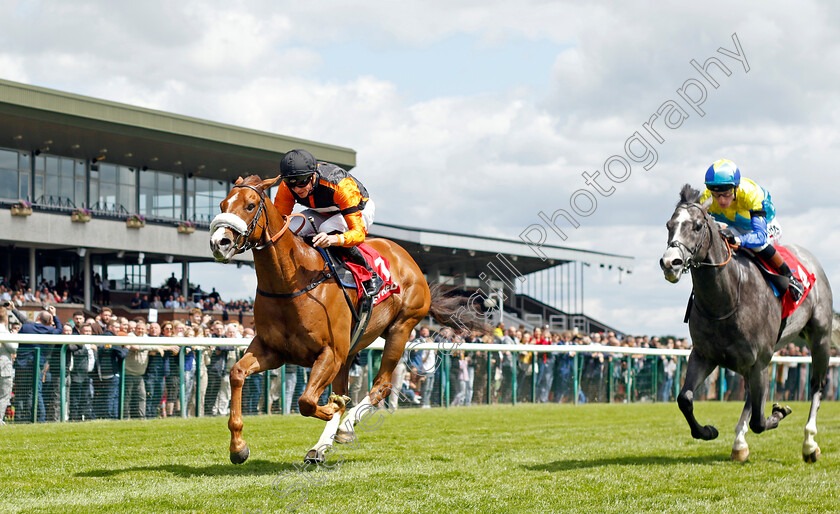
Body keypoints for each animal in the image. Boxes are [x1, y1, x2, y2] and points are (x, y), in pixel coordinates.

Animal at [209, 174, 480, 462]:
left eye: (250, 206)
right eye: (223, 204)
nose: (219, 243)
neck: (292, 282)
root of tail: (407, 257)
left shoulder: (330, 352)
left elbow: (307, 402)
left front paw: (331, 410)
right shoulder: (272, 350)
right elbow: (237, 373)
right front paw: (238, 447)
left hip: (401, 327)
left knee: (381, 386)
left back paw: (346, 427)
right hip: (352, 347)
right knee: (346, 389)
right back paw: (320, 446)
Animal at [664, 184, 832, 460]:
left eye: (697, 226)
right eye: (669, 225)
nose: (670, 263)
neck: (726, 299)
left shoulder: (759, 361)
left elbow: (760, 421)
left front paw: (780, 411)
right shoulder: (704, 355)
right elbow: (684, 399)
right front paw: (707, 431)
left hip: (820, 336)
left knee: (817, 385)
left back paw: (809, 444)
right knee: (750, 397)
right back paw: (739, 444)